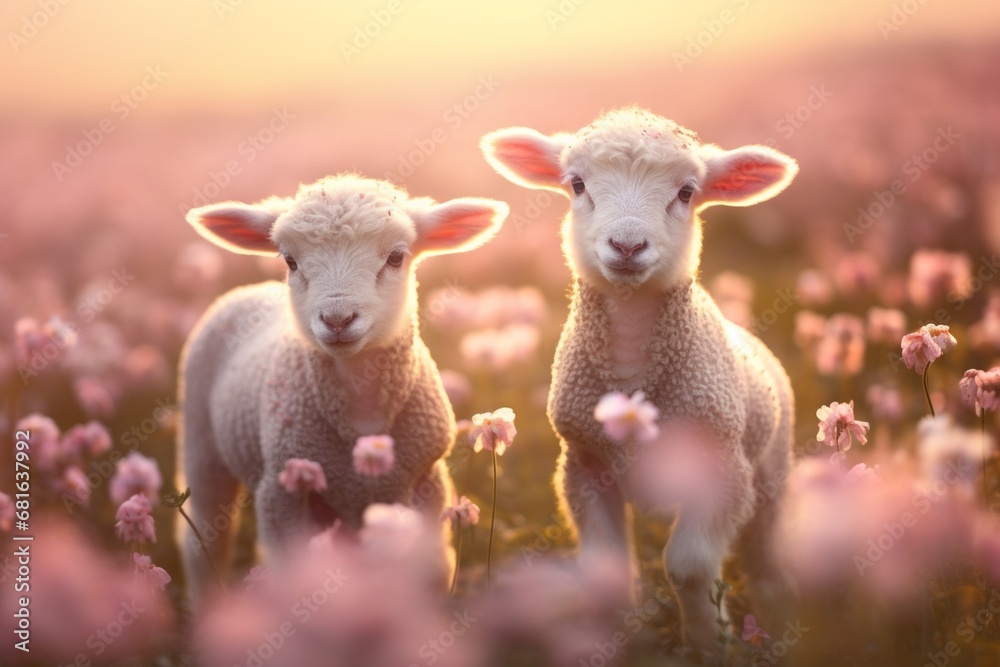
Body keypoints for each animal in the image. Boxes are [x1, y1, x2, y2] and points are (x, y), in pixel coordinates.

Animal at [176, 174, 508, 600]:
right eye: (290, 260)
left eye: (396, 257)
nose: (337, 319)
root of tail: (250, 289)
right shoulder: (281, 490)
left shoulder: (424, 481)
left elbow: (430, 569)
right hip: (201, 443)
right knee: (204, 542)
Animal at [480, 108, 800, 648]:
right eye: (577, 184)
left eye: (687, 192)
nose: (627, 245)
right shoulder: (584, 465)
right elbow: (602, 572)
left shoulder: (722, 469)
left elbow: (689, 569)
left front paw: (710, 643)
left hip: (770, 472)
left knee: (766, 552)